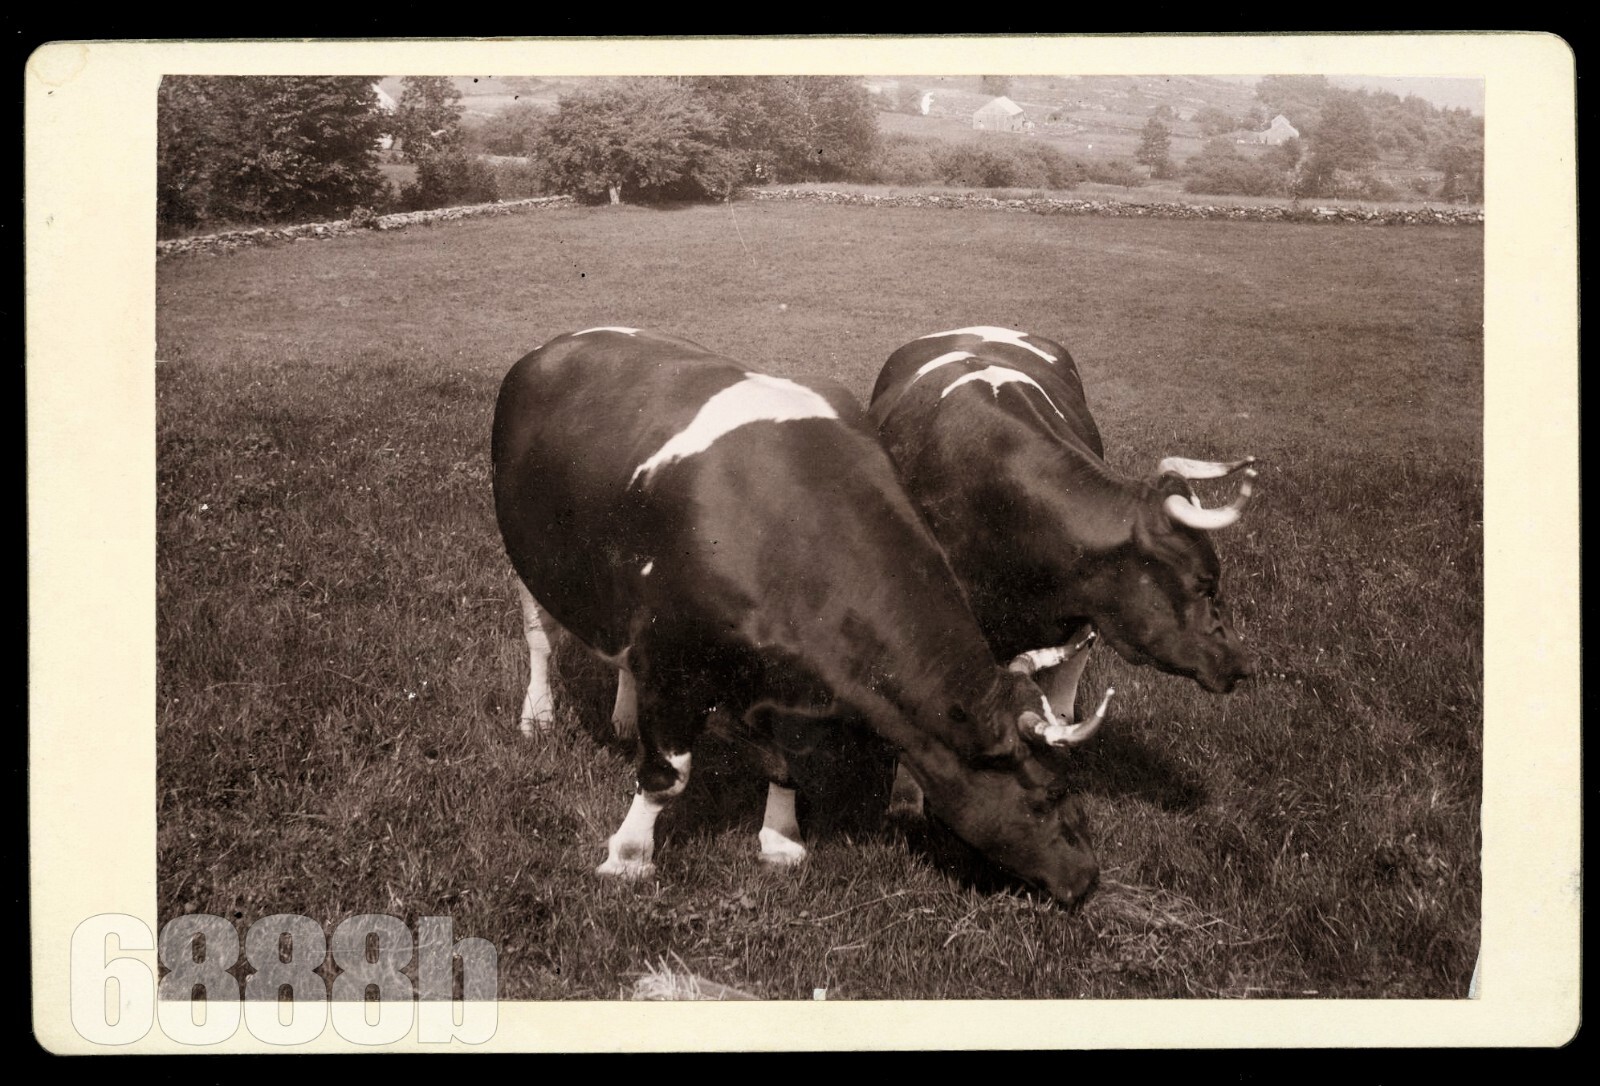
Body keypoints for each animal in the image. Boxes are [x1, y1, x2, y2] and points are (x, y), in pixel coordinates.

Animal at [492, 327, 1104, 904]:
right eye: (1048, 793)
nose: (1088, 879)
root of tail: (562, 343)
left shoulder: (787, 689)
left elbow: (788, 765)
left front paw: (781, 840)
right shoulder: (674, 663)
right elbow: (667, 777)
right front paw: (628, 857)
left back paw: (622, 716)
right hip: (527, 557)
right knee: (540, 638)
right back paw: (538, 716)